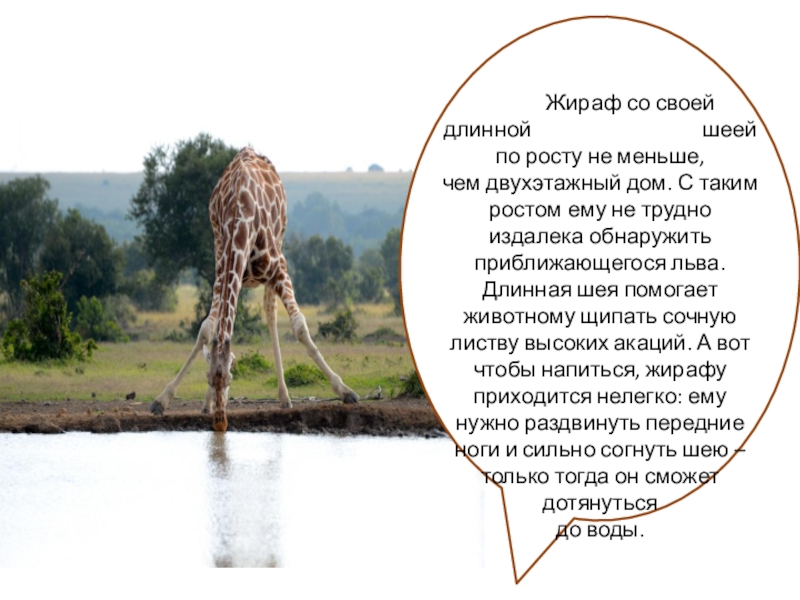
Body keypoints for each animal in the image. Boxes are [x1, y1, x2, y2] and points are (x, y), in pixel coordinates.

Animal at [150, 147, 358, 431]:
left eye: (230, 378)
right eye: (209, 377)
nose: (220, 424)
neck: (240, 221)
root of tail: (249, 151)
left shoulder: (279, 269)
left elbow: (300, 327)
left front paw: (345, 390)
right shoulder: (221, 274)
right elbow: (206, 330)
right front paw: (164, 399)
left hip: (279, 246)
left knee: (270, 314)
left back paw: (285, 397)